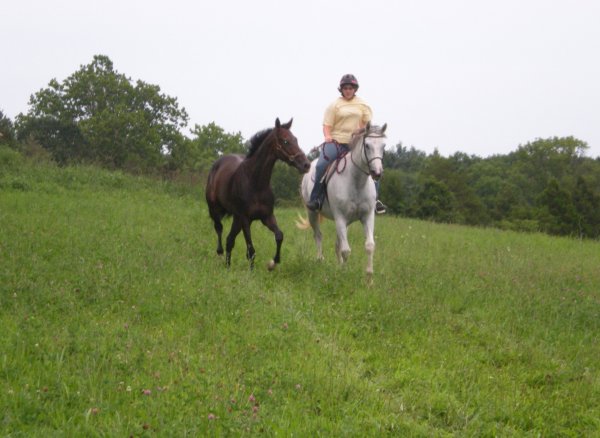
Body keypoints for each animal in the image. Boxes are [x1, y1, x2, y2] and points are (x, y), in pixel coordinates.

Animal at [205, 120, 310, 270]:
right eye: (285, 141)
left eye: (295, 139)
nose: (306, 165)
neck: (255, 184)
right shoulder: (245, 219)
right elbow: (251, 250)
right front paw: (251, 272)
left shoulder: (266, 216)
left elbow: (279, 235)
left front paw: (273, 263)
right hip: (215, 209)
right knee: (219, 229)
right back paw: (220, 256)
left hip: (236, 219)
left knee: (229, 240)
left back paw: (228, 266)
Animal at [298, 123, 386, 280]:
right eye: (367, 145)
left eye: (384, 146)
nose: (377, 173)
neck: (356, 181)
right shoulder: (340, 217)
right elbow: (346, 250)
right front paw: (343, 274)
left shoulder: (368, 216)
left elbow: (369, 245)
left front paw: (369, 278)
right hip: (312, 213)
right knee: (318, 235)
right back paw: (320, 260)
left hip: (346, 222)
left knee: (337, 243)